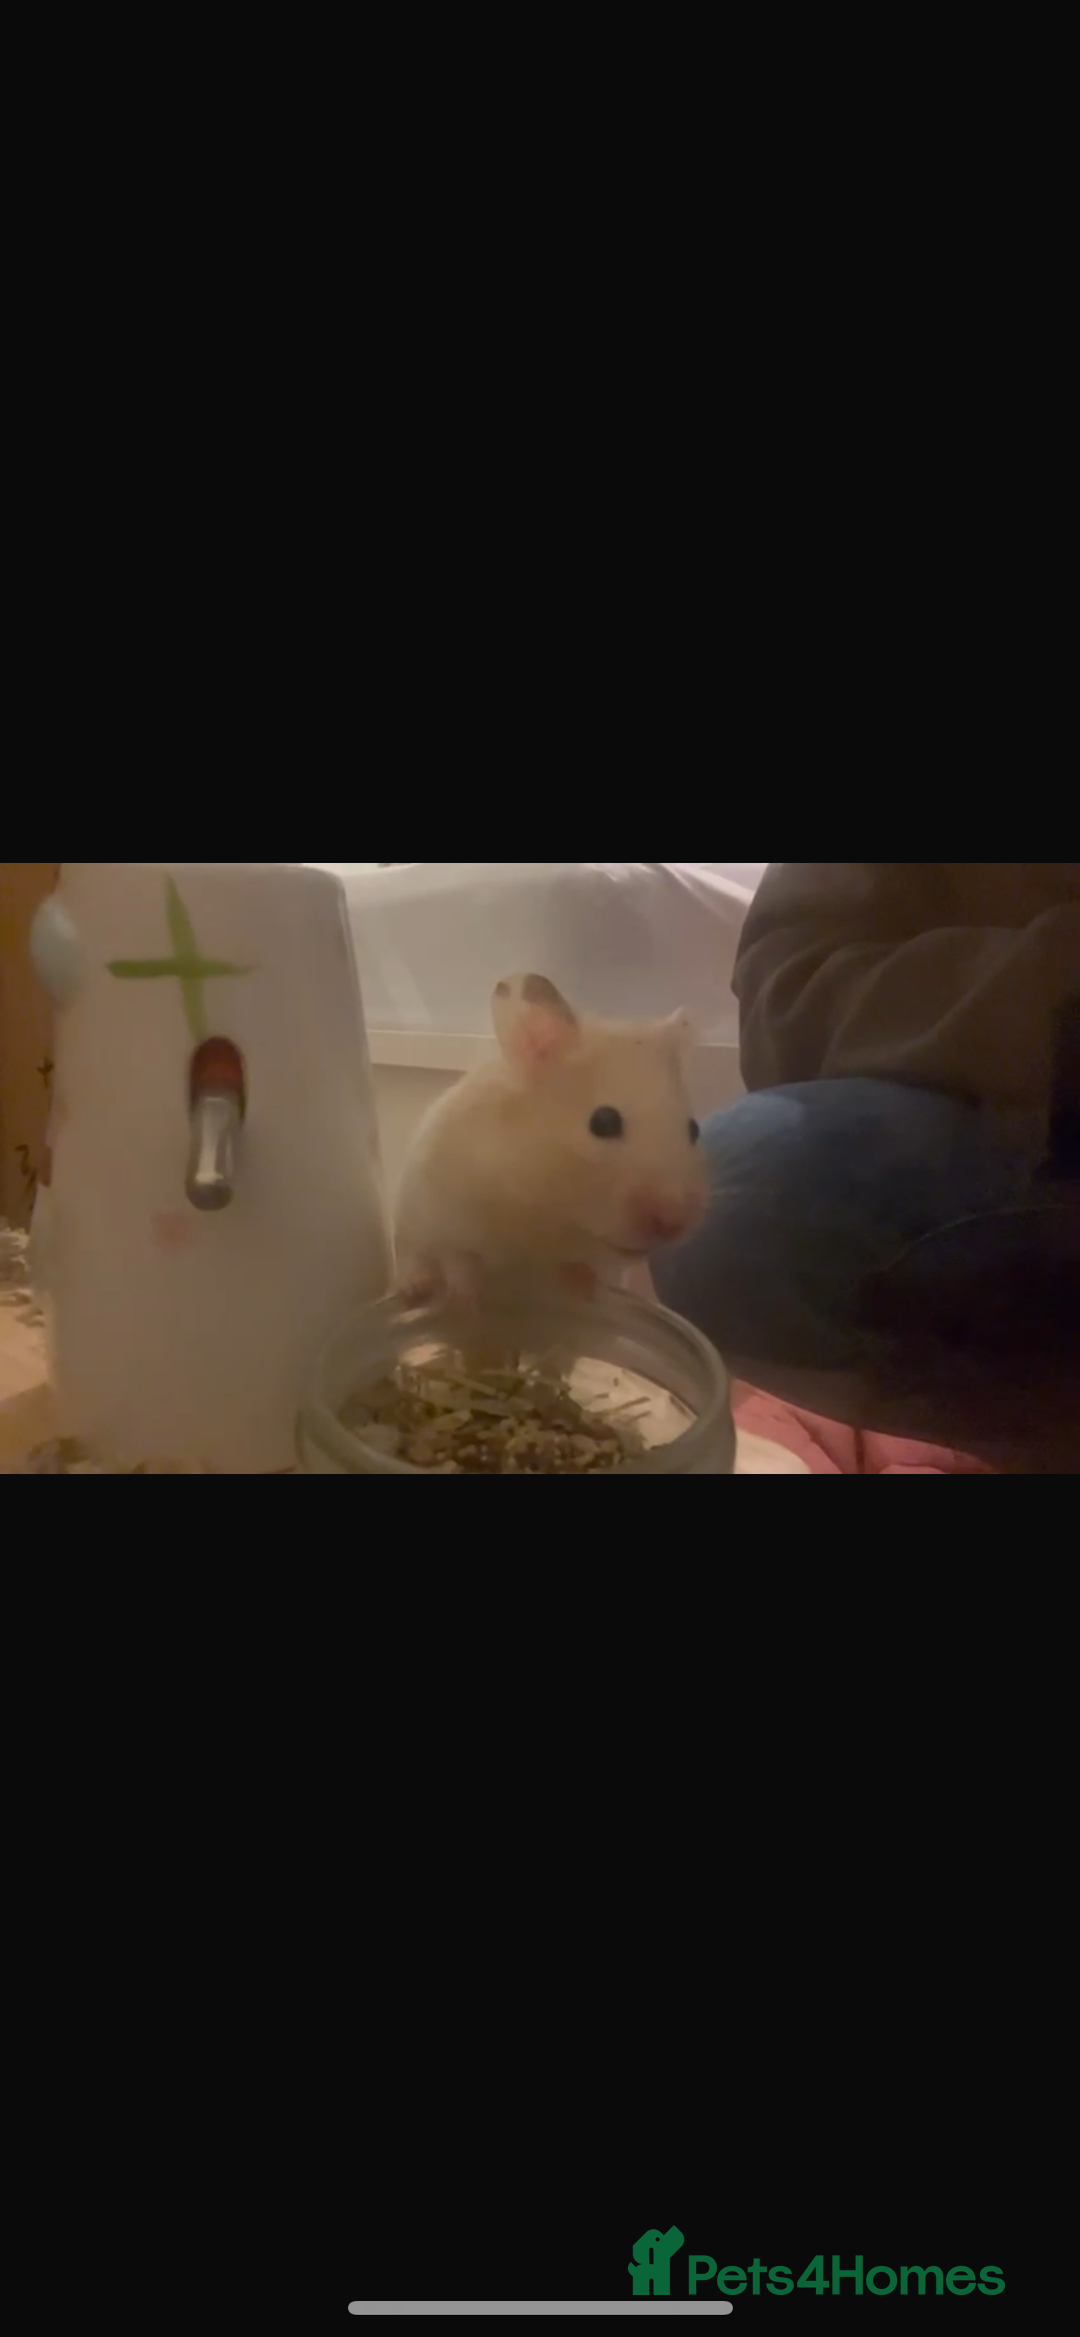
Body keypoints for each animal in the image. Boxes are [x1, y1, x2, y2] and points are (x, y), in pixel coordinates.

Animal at [394, 973, 709, 1306]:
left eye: (694, 1129)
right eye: (603, 1122)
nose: (673, 1222)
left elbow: (581, 1266)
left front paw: (584, 1290)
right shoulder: (441, 1205)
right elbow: (456, 1256)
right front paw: (466, 1300)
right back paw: (416, 1290)